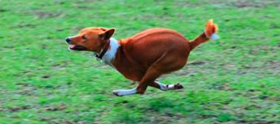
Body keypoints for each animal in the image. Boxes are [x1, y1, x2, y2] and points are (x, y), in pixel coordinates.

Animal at [65, 19, 219, 96]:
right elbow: (159, 85)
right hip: (155, 68)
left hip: (156, 66)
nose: (67, 39)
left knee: (140, 90)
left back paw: (120, 92)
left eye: (84, 37)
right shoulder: (145, 74)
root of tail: (188, 43)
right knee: (148, 87)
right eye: (80, 32)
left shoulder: (139, 75)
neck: (110, 48)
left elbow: (145, 86)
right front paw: (172, 86)